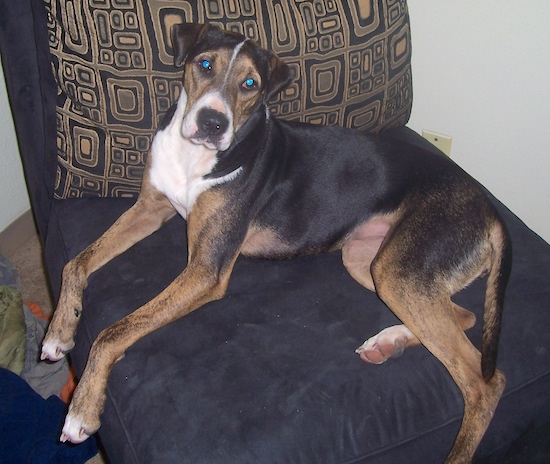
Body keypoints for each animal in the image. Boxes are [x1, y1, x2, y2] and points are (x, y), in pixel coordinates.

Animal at [42, 23, 512, 462]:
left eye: (250, 83)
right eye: (205, 64)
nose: (213, 124)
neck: (197, 157)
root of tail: (490, 207)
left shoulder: (206, 269)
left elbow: (113, 332)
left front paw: (81, 410)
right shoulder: (149, 209)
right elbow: (75, 263)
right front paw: (59, 332)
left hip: (400, 269)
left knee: (486, 380)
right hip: (371, 262)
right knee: (464, 318)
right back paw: (388, 343)